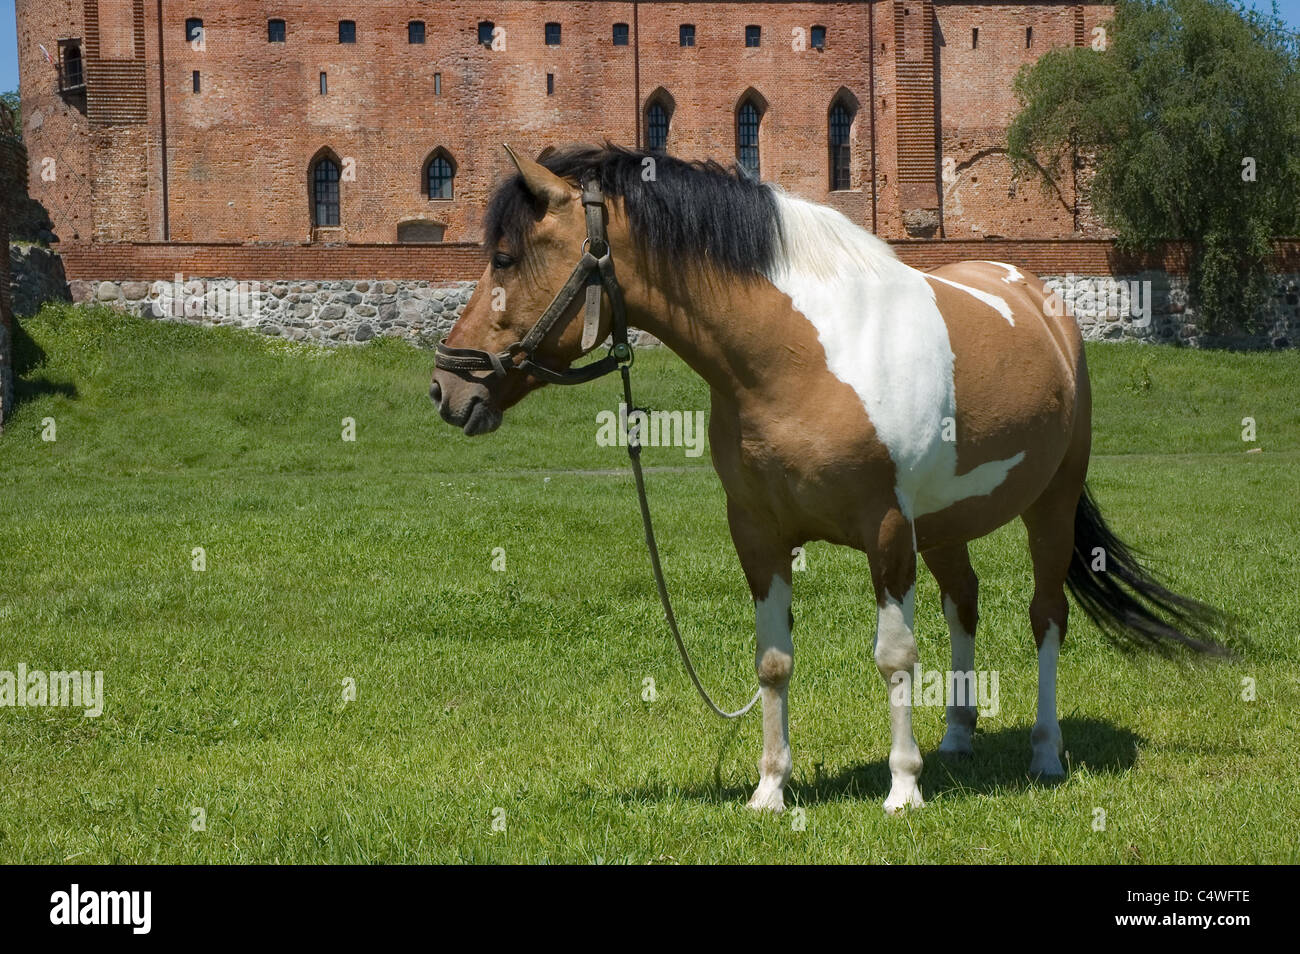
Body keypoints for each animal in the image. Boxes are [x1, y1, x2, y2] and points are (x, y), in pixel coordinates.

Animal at [430, 143, 1224, 814]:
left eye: (506, 257)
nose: (446, 388)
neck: (801, 355)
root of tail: (1039, 300)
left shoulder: (888, 531)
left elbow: (895, 656)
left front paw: (903, 789)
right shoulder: (758, 534)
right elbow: (774, 662)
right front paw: (770, 791)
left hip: (1049, 506)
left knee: (1046, 618)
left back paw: (1045, 752)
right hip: (947, 525)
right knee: (964, 605)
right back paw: (957, 737)